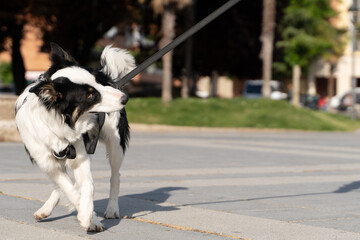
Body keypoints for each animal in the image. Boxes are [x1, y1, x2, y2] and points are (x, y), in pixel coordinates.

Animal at [14, 43, 135, 231]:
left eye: (99, 83)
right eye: (90, 95)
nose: (125, 98)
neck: (59, 121)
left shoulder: (79, 155)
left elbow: (88, 186)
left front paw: (89, 217)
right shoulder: (47, 161)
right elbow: (69, 188)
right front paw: (88, 217)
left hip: (116, 145)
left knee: (115, 176)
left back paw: (112, 209)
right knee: (62, 184)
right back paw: (46, 209)